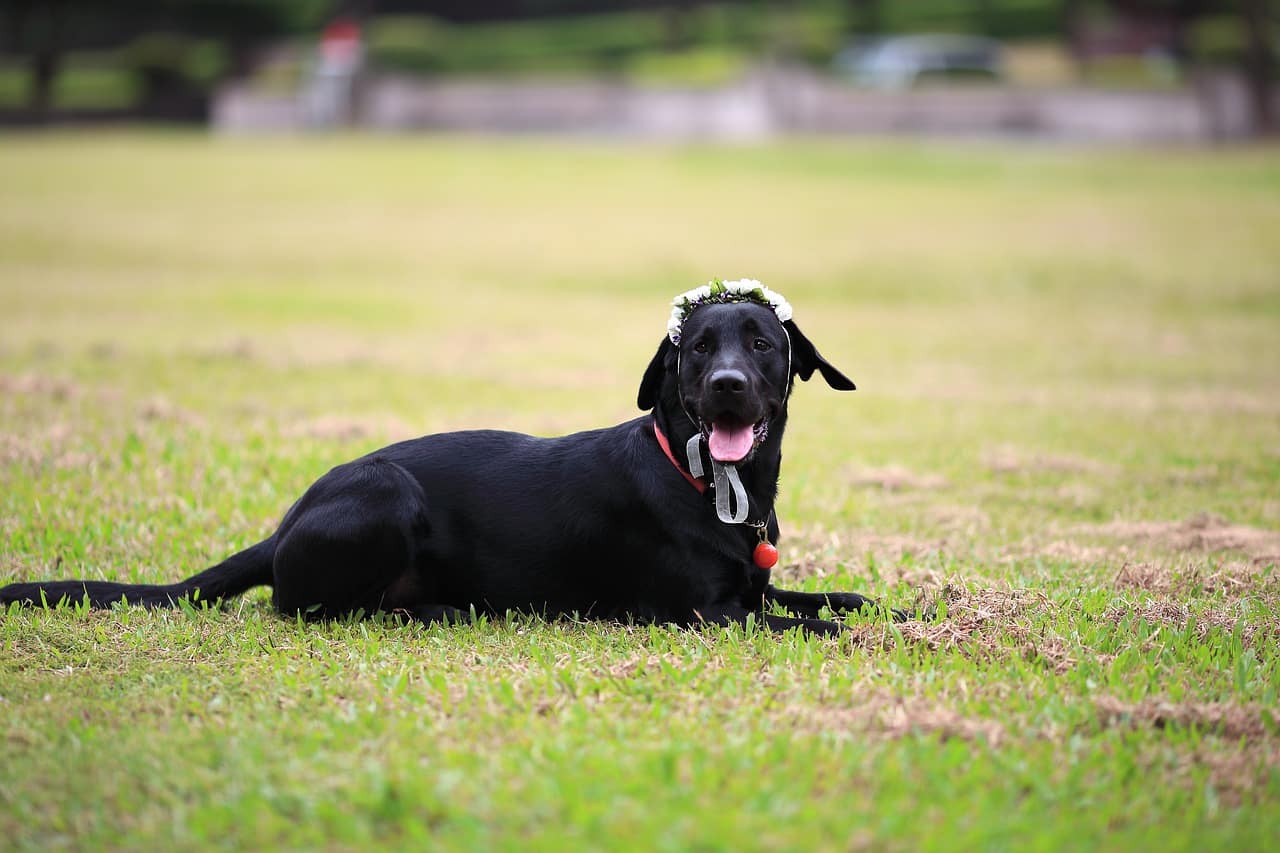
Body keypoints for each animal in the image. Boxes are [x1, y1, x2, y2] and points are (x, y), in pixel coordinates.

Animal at [0, 292, 901, 630]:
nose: (725, 388)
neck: (708, 483)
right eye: (697, 349)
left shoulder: (753, 587)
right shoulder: (704, 613)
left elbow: (846, 599)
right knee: (305, 607)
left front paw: (908, 613)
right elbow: (822, 626)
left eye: (762, 342)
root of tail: (284, 524)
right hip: (387, 496)